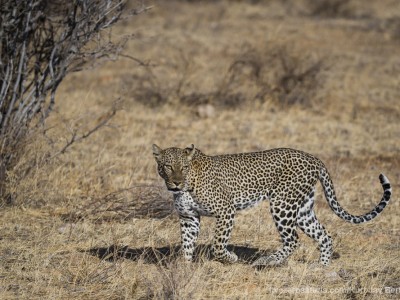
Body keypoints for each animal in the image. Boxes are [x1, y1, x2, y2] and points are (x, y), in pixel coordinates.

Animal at [152, 144, 392, 266]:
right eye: (167, 166)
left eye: (183, 167)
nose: (176, 182)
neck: (188, 185)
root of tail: (314, 159)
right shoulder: (189, 217)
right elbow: (187, 244)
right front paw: (185, 269)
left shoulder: (226, 211)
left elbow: (218, 245)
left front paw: (231, 258)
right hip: (302, 209)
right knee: (324, 235)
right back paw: (322, 267)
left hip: (282, 204)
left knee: (293, 240)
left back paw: (267, 261)